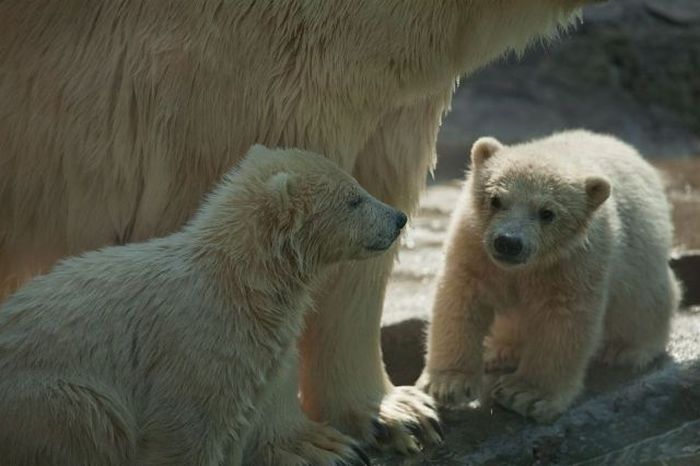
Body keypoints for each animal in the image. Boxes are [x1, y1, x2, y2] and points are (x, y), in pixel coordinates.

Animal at [0, 147, 408, 466]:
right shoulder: (196, 344)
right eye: (353, 198)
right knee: (90, 421)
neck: (237, 280)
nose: (399, 217)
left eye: (357, 186)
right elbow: (186, 429)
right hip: (49, 397)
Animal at [418, 130, 680, 422]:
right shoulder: (474, 242)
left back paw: (626, 350)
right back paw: (500, 350)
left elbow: (563, 319)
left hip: (644, 270)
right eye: (496, 199)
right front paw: (448, 384)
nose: (508, 242)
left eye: (547, 213)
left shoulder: (576, 259)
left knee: (642, 305)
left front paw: (525, 394)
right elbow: (462, 297)